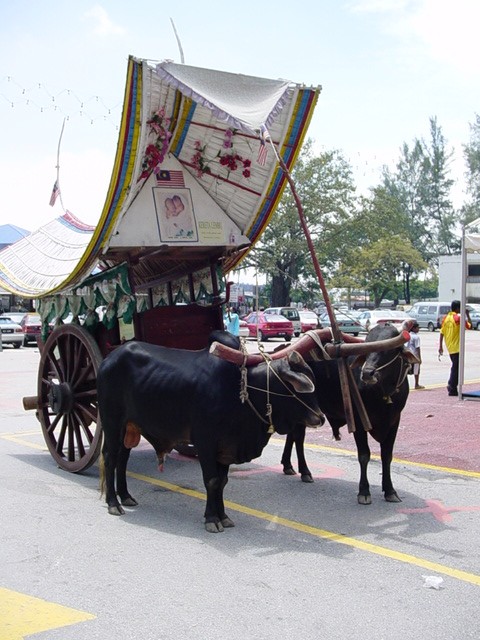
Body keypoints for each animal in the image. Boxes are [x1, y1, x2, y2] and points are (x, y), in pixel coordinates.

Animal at [97, 332, 324, 533]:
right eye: (292, 386)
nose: (320, 418)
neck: (241, 389)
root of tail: (109, 358)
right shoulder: (205, 442)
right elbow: (212, 481)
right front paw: (212, 519)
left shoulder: (226, 447)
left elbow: (222, 482)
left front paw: (223, 516)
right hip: (112, 423)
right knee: (109, 457)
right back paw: (113, 503)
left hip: (130, 428)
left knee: (122, 459)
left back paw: (126, 496)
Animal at [280, 324, 419, 504]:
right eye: (367, 346)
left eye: (390, 349)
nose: (367, 373)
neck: (383, 393)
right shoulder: (358, 422)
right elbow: (364, 455)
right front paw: (364, 491)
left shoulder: (394, 421)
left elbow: (387, 456)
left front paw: (390, 490)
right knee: (298, 437)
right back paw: (305, 471)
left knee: (292, 435)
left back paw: (288, 465)